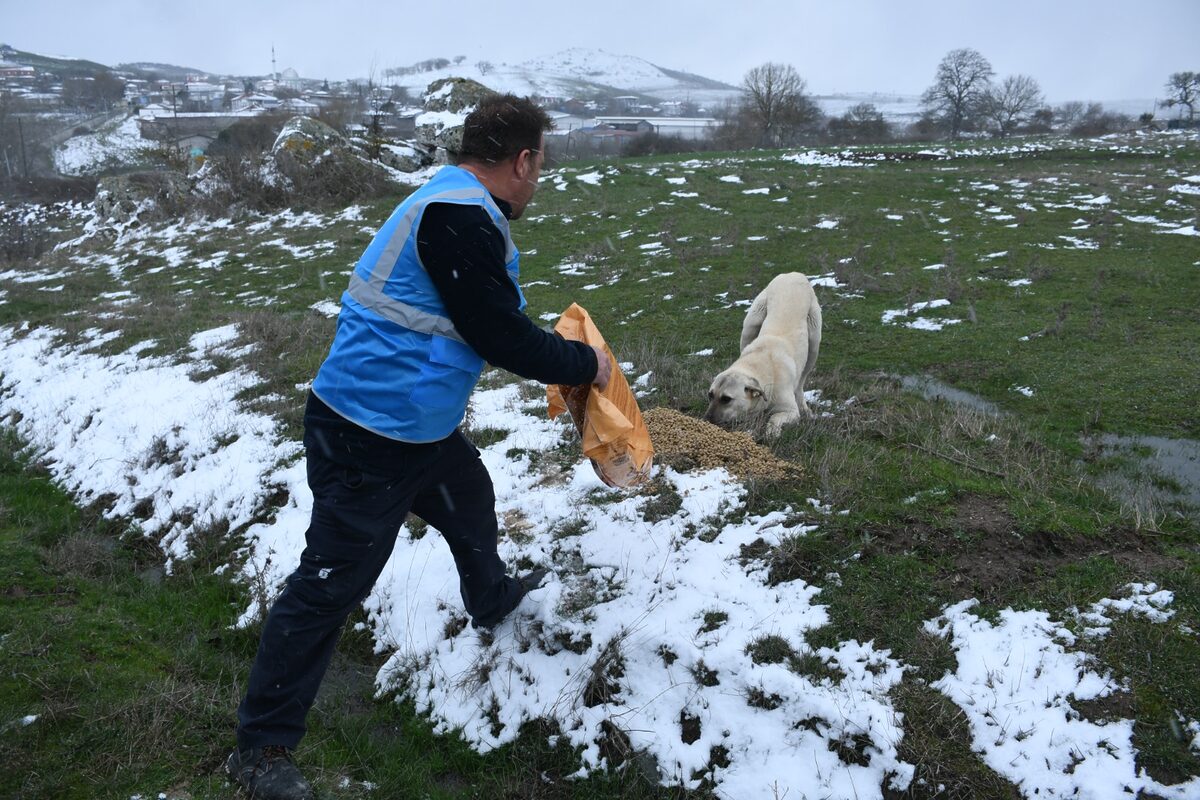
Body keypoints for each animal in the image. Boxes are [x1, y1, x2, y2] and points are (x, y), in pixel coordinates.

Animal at [705, 273, 820, 438]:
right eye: (710, 395)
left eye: (726, 399)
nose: (706, 420)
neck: (763, 360)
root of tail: (793, 274)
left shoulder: (790, 411)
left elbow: (774, 418)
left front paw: (772, 432)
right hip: (751, 324)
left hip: (814, 342)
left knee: (800, 383)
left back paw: (805, 409)